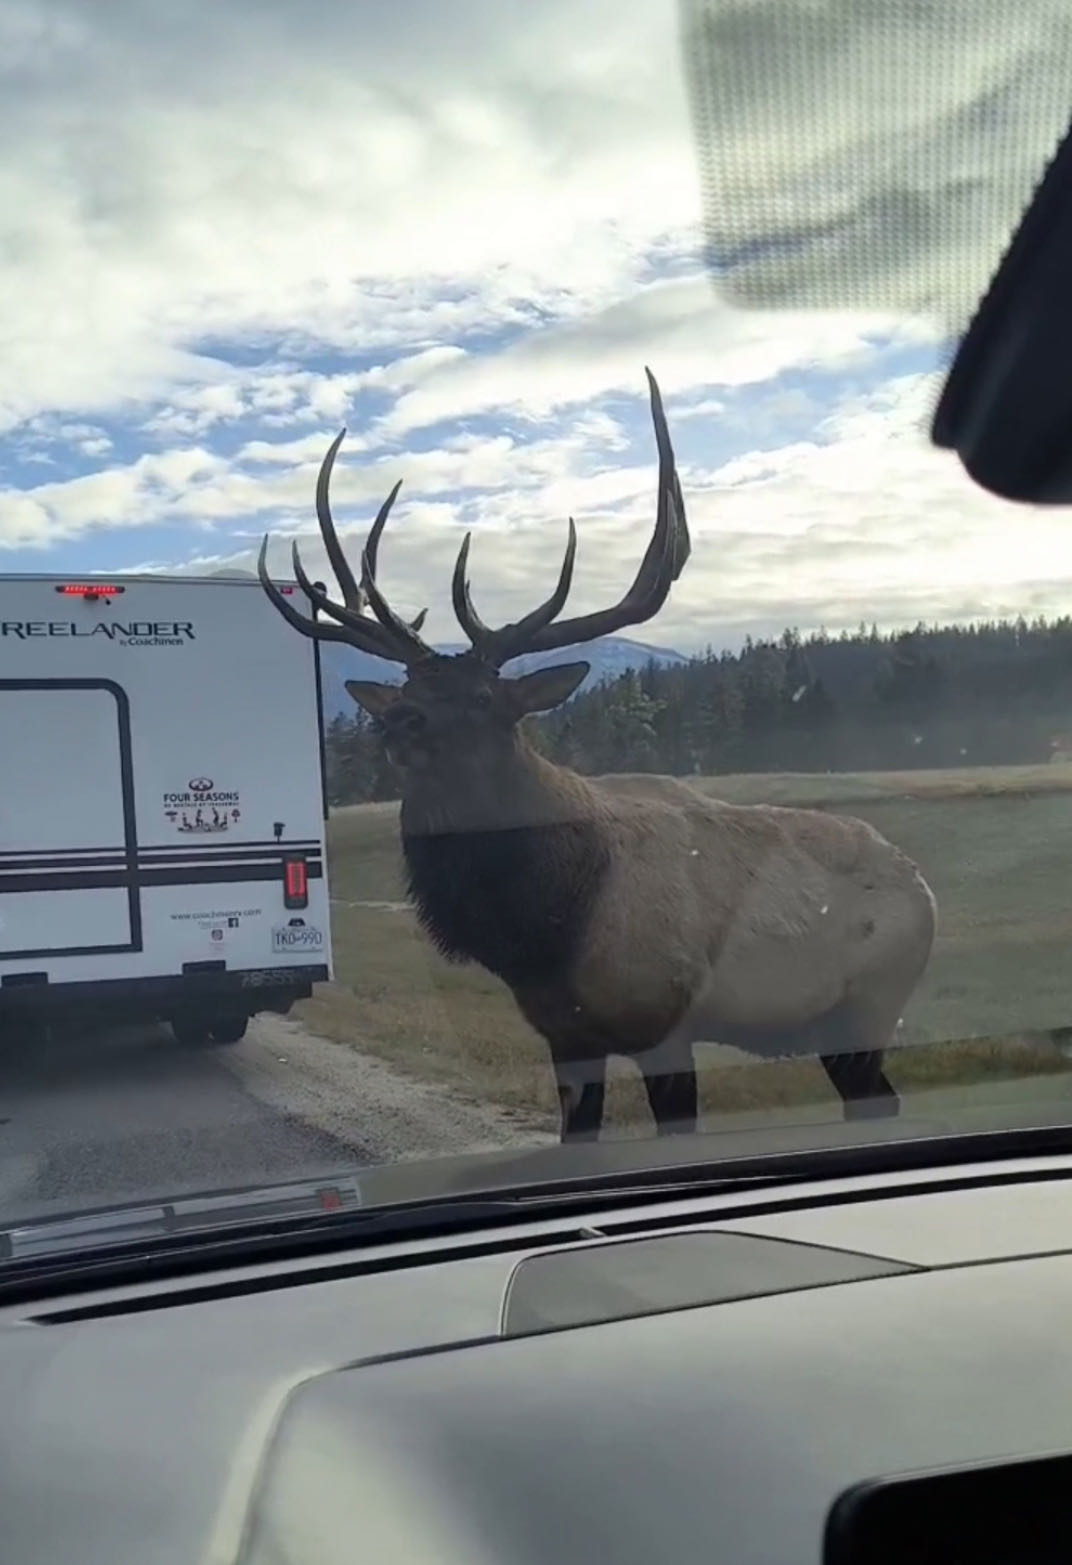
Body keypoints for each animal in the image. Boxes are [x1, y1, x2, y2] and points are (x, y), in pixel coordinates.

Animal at [255, 372, 932, 1145]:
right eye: (407, 687)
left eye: (483, 696)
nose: (398, 722)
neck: (545, 928)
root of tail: (925, 889)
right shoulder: (564, 1033)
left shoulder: (665, 1019)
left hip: (872, 1000)